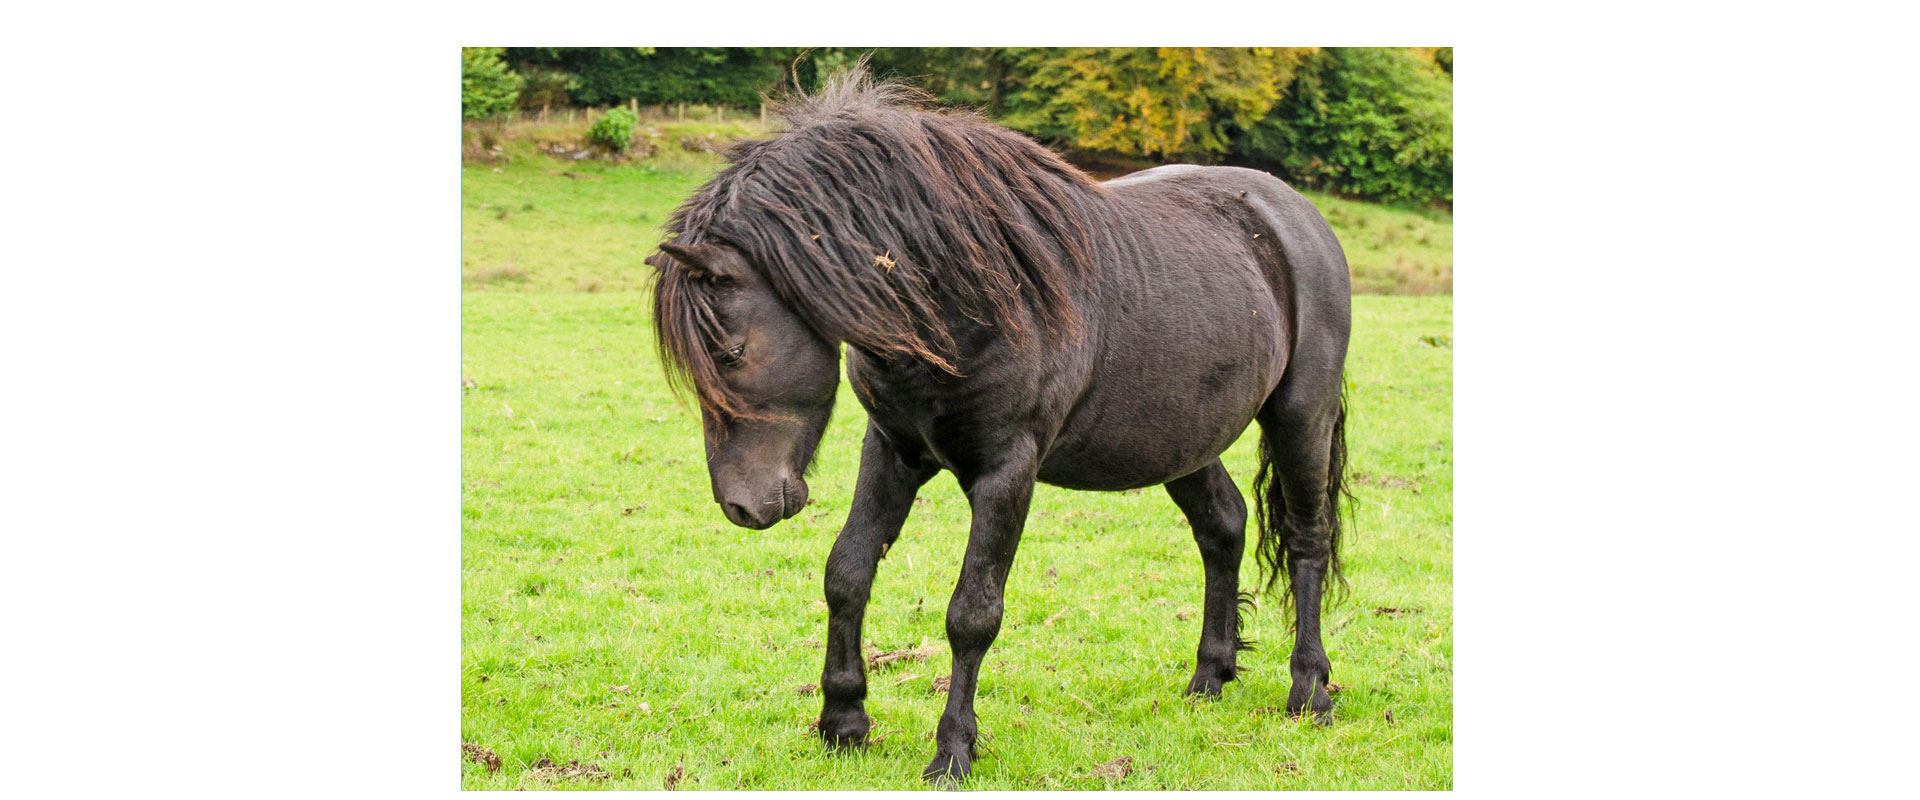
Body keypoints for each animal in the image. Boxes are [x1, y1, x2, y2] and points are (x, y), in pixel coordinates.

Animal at [645, 68, 1351, 778]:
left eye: (731, 353)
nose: (742, 505)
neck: (962, 300)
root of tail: (1295, 213)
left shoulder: (1008, 471)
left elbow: (972, 613)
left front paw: (953, 750)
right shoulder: (892, 452)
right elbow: (847, 573)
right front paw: (843, 723)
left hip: (1300, 418)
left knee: (1307, 539)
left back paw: (1310, 690)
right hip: (1178, 439)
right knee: (1223, 527)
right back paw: (1209, 677)